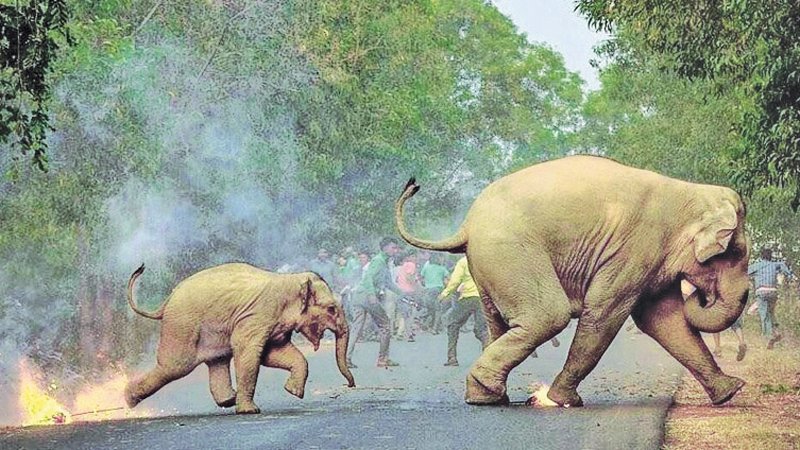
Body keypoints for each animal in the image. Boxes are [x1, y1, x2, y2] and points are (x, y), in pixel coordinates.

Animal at [124, 262, 356, 414]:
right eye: (331, 309)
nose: (350, 385)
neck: (291, 280)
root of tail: (166, 301)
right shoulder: (257, 316)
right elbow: (248, 352)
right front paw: (250, 411)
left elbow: (272, 354)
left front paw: (293, 392)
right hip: (182, 325)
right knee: (176, 365)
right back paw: (129, 399)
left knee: (217, 360)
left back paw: (229, 400)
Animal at [395, 155, 750, 407]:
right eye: (737, 252)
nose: (700, 296)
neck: (690, 191)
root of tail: (466, 225)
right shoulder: (634, 248)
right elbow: (605, 313)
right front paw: (563, 401)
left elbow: (665, 320)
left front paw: (731, 391)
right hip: (510, 252)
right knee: (548, 316)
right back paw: (493, 394)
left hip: (489, 266)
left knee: (500, 323)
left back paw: (489, 396)